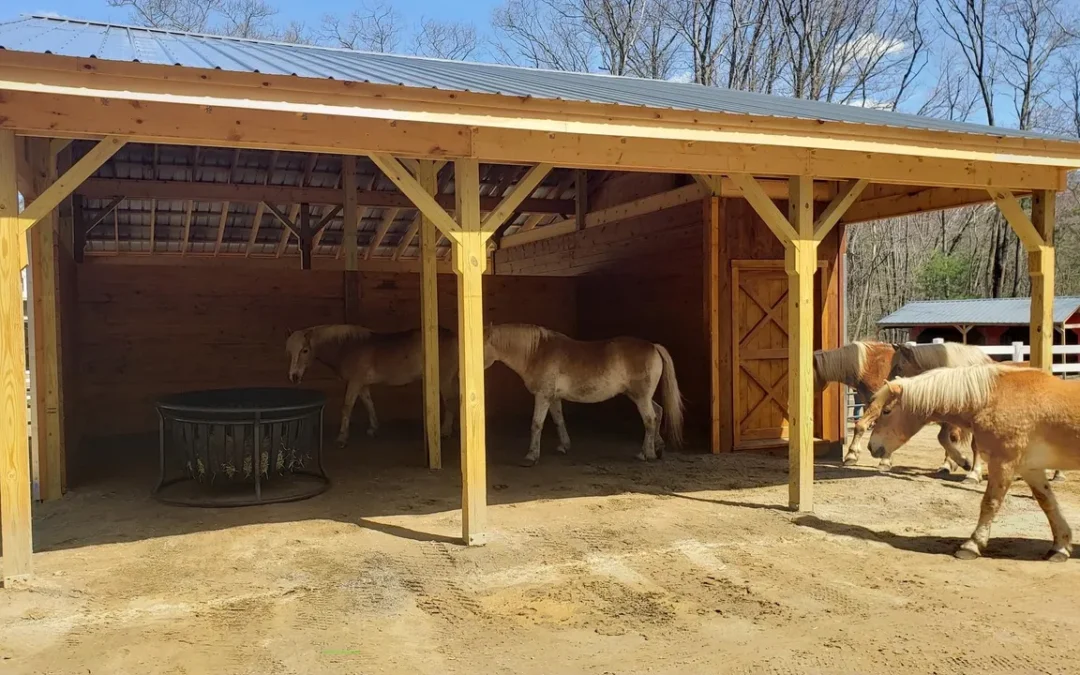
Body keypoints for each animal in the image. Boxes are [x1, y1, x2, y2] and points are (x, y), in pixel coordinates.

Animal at [285, 324, 457, 444]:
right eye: (289, 352)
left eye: (305, 350)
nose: (294, 376)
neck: (348, 347)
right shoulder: (362, 384)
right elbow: (369, 404)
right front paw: (373, 428)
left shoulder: (354, 382)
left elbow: (347, 407)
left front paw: (342, 438)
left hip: (444, 379)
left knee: (450, 402)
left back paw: (445, 432)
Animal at [483, 324, 682, 466]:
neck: (536, 352)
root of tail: (653, 346)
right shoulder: (553, 398)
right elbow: (559, 421)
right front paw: (564, 446)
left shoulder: (542, 396)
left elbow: (536, 424)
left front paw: (531, 456)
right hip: (640, 396)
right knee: (658, 412)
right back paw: (658, 448)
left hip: (641, 398)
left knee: (649, 419)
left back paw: (645, 454)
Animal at [864, 365, 1080, 561]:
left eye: (886, 411)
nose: (872, 447)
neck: (992, 399)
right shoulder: (1030, 469)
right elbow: (1048, 503)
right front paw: (1060, 547)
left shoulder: (1002, 464)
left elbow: (990, 503)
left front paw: (972, 545)